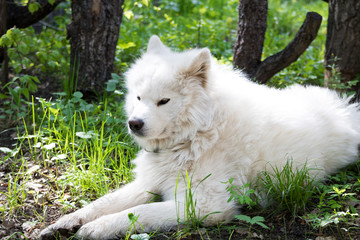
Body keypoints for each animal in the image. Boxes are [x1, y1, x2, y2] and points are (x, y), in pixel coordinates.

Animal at [38, 36, 358, 240]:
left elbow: (138, 213)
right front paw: (65, 222)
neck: (199, 132)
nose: (134, 124)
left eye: (163, 101)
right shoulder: (150, 182)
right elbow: (104, 202)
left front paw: (96, 229)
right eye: (138, 97)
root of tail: (346, 109)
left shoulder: (203, 204)